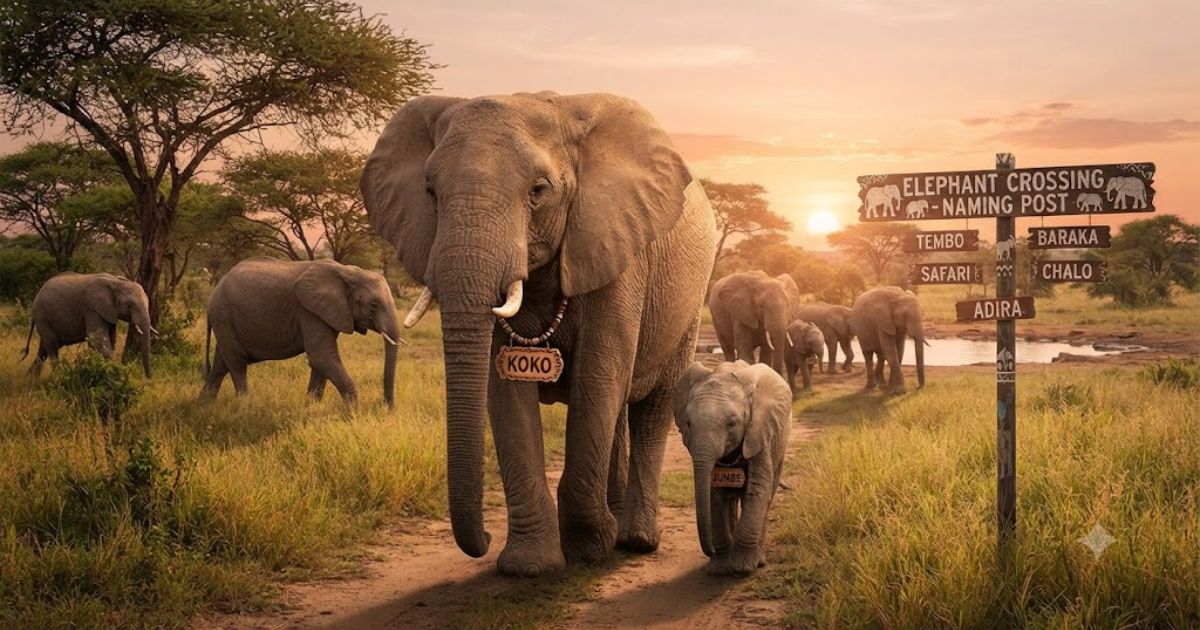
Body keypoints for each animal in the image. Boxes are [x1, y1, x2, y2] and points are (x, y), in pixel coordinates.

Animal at [21, 272, 155, 377]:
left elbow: (111, 340)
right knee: (52, 345)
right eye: (129, 306)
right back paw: (60, 376)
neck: (117, 282)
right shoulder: (91, 309)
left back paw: (29, 379)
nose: (148, 377)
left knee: (44, 348)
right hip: (42, 316)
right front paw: (118, 372)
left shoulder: (108, 312)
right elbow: (97, 340)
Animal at [201, 257, 400, 407]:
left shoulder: (326, 312)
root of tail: (211, 297)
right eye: (374, 305)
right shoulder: (308, 310)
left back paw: (204, 405)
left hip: (224, 320)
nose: (385, 407)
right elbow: (321, 357)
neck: (348, 271)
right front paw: (351, 413)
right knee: (237, 363)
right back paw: (245, 405)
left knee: (221, 363)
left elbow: (321, 362)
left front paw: (311, 407)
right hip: (224, 316)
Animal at [361, 92, 716, 576]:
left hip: (690, 300)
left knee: (652, 405)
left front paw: (588, 549)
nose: (483, 540)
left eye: (538, 191)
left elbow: (597, 378)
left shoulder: (615, 247)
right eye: (430, 192)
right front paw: (529, 566)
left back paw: (635, 539)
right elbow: (505, 390)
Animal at [673, 360, 791, 576]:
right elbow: (714, 495)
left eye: (732, 424)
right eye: (688, 423)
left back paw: (758, 559)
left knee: (766, 496)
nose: (709, 550)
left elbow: (757, 490)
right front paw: (719, 569)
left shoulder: (759, 432)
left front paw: (742, 568)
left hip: (780, 445)